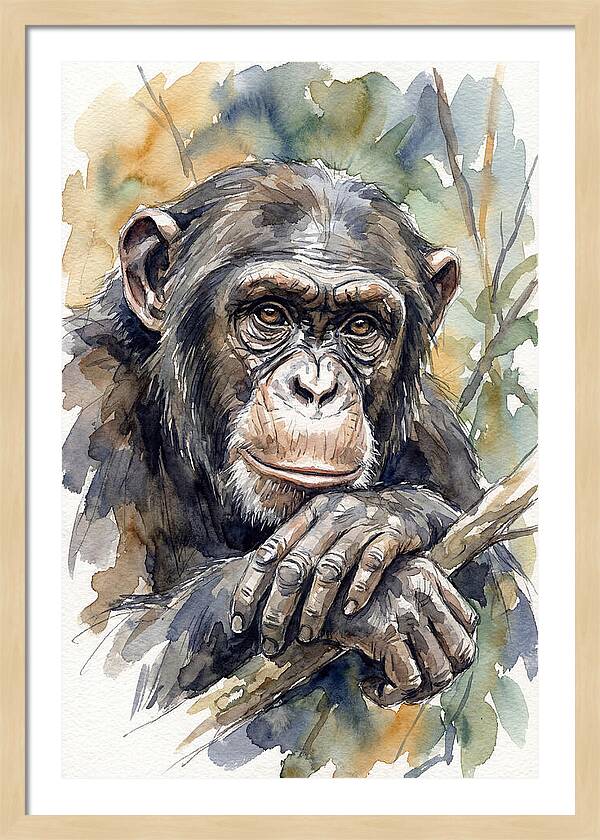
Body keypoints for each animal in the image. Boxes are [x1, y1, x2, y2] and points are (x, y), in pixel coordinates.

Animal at [63, 160, 528, 714]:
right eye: (270, 314)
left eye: (361, 325)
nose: (317, 387)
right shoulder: (88, 405)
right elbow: (105, 649)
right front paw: (394, 596)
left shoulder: (438, 439)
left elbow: (513, 611)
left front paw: (373, 518)